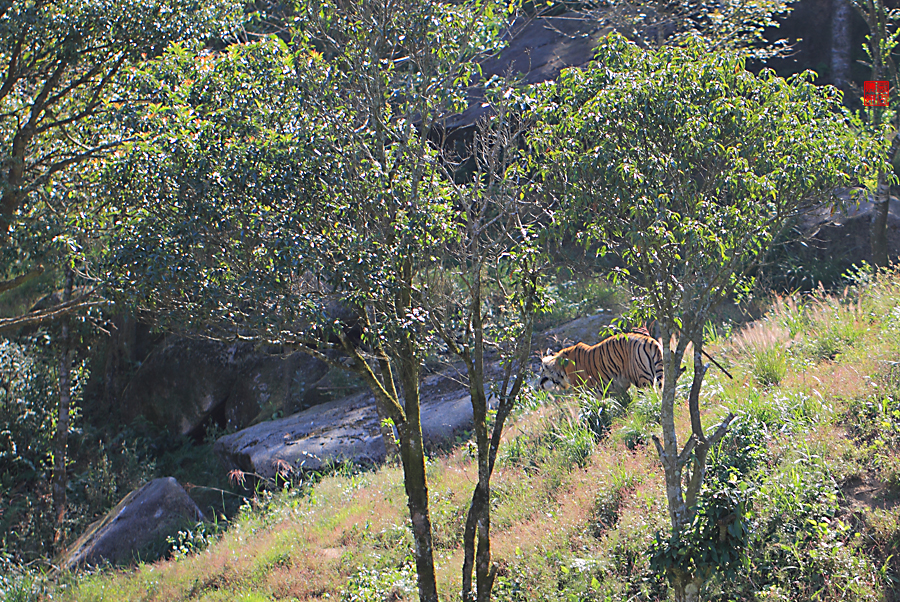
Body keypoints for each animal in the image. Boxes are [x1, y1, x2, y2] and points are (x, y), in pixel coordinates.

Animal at [536, 328, 664, 394]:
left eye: (542, 371)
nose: (538, 385)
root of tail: (650, 341)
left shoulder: (581, 391)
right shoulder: (617, 387)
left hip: (642, 380)